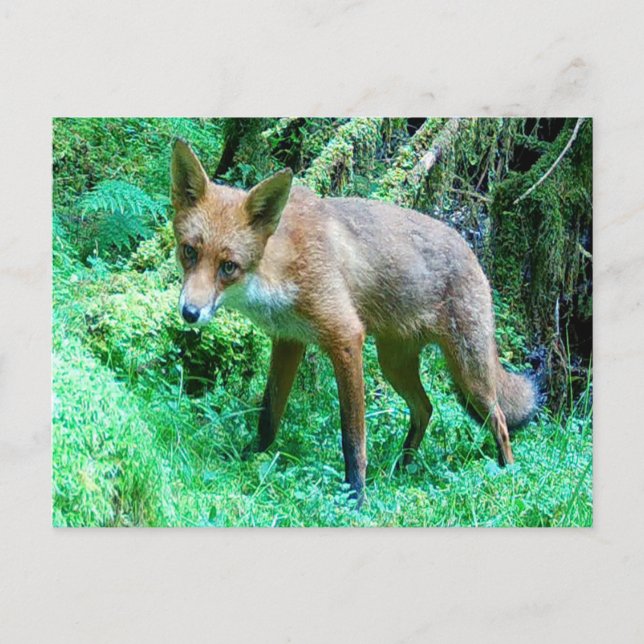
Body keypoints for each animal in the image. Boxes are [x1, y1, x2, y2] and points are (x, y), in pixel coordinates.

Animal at [170, 138, 537, 506]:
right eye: (189, 251)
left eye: (228, 266)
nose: (190, 313)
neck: (284, 263)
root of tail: (471, 251)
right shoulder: (289, 341)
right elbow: (269, 415)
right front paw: (251, 457)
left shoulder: (346, 337)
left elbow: (353, 437)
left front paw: (356, 497)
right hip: (394, 365)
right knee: (426, 408)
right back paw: (404, 466)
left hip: (468, 372)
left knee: (499, 421)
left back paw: (508, 475)